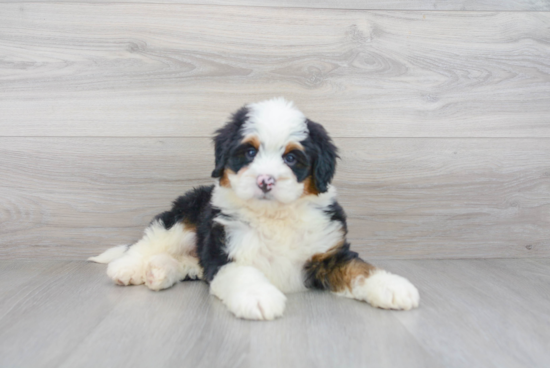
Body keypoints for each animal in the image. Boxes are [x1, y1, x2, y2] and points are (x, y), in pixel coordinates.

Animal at [90, 97, 420, 320]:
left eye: (291, 158)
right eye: (249, 152)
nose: (265, 180)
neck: (275, 216)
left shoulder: (328, 255)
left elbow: (360, 269)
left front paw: (392, 286)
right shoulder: (227, 251)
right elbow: (244, 275)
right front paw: (259, 297)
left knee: (190, 263)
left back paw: (159, 271)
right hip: (184, 216)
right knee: (151, 240)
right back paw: (128, 268)